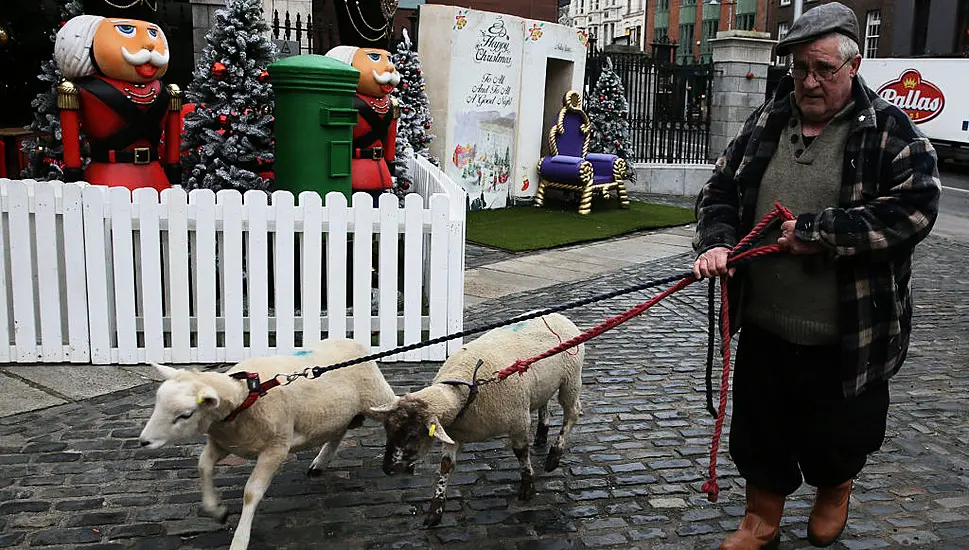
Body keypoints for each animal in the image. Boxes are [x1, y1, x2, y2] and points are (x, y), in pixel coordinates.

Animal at [138, 340, 396, 550]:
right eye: (157, 403)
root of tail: (352, 341)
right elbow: (203, 466)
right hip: (335, 413)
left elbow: (251, 492)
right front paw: (216, 511)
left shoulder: (276, 448)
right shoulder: (224, 443)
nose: (143, 441)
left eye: (185, 415)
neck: (246, 396)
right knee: (338, 431)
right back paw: (320, 463)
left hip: (376, 399)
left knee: (399, 408)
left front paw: (240, 540)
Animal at [368, 312, 584, 528]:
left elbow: (521, 453)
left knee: (572, 413)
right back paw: (541, 435)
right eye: (387, 429)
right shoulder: (453, 434)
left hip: (571, 379)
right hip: (543, 385)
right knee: (544, 403)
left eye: (413, 435)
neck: (464, 389)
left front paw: (527, 487)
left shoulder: (518, 422)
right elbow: (446, 465)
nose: (387, 469)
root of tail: (557, 314)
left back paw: (554, 455)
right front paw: (435, 511)